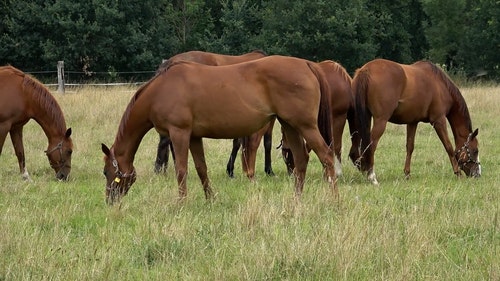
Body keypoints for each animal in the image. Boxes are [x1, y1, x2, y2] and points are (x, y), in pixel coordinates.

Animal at [352, 58, 480, 184]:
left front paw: (407, 174)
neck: (440, 85)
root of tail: (365, 70)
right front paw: (457, 173)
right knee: (371, 146)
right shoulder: (439, 121)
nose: (477, 174)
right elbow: (448, 146)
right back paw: (372, 177)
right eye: (475, 150)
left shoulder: (412, 122)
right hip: (380, 121)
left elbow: (410, 147)